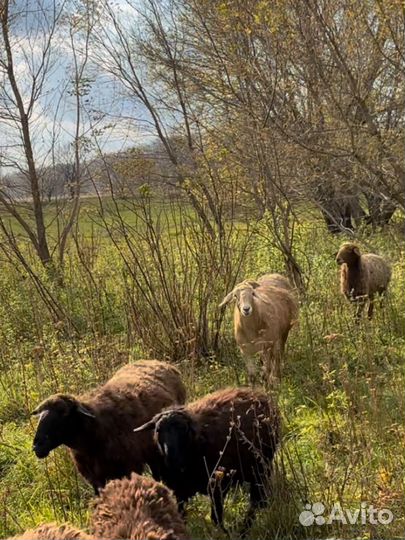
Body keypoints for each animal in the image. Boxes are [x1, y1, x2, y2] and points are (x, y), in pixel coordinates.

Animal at [31, 360, 186, 492]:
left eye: (63, 413)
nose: (37, 445)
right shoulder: (95, 479)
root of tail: (159, 362)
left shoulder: (128, 469)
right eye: (40, 415)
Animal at [134, 388, 280, 536]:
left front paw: (225, 534)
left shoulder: (218, 484)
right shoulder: (179, 490)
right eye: (158, 430)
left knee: (257, 501)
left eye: (184, 429)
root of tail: (256, 393)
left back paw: (244, 530)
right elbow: (181, 517)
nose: (171, 458)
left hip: (261, 468)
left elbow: (216, 518)